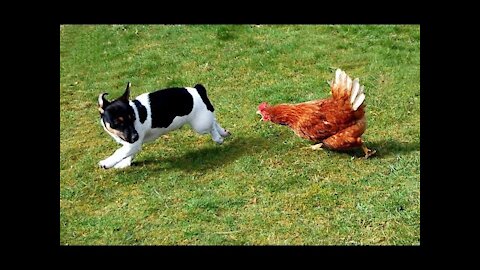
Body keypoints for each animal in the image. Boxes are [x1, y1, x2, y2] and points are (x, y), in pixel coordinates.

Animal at [97, 82, 231, 169]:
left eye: (133, 119)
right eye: (118, 123)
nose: (135, 136)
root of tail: (197, 89)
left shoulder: (133, 143)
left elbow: (120, 152)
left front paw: (107, 163)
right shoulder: (132, 143)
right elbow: (127, 153)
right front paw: (125, 163)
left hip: (200, 125)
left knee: (211, 125)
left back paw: (218, 137)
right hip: (204, 118)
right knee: (214, 120)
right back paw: (223, 132)